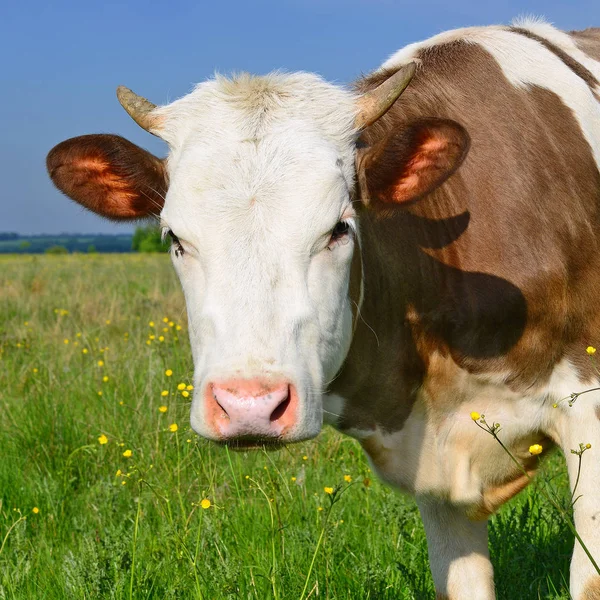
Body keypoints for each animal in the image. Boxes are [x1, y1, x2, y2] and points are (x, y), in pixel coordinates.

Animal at [48, 18, 600, 600]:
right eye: (174, 237)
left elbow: (587, 578)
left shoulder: (586, 408)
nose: (249, 406)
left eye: (339, 228)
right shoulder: (436, 462)